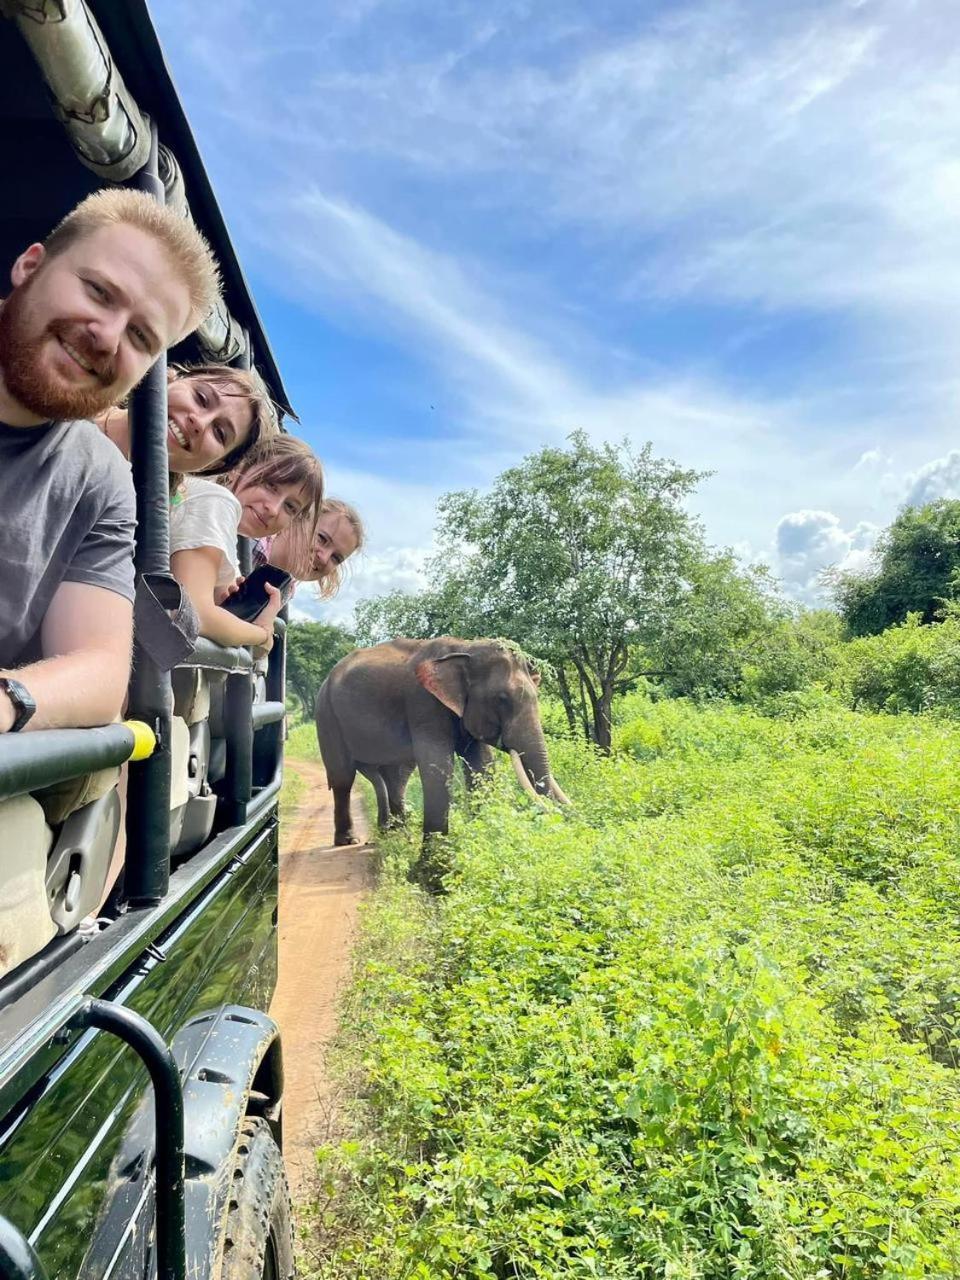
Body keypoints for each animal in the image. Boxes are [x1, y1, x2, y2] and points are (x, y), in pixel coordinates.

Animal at [316, 632, 570, 849]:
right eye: (501, 699)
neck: (465, 647)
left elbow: (481, 765)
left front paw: (479, 835)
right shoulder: (423, 703)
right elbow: (437, 765)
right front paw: (437, 851)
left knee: (395, 776)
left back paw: (399, 835)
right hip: (326, 716)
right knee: (343, 777)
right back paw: (349, 841)